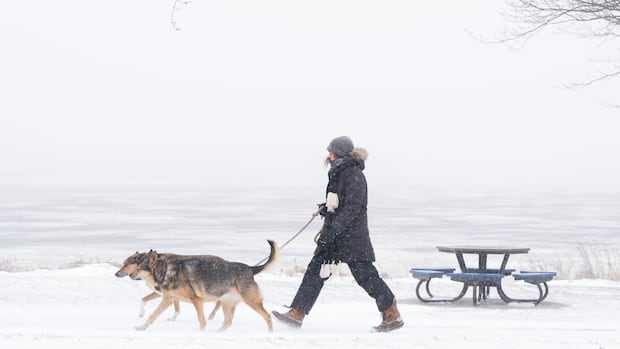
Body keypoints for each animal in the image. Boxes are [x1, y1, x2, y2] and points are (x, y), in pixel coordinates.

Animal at [136, 239, 280, 332]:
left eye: (140, 268)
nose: (131, 275)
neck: (166, 271)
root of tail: (250, 268)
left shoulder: (196, 300)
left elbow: (201, 320)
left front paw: (201, 333)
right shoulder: (168, 300)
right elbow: (152, 315)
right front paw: (141, 327)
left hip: (251, 301)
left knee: (267, 316)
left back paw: (270, 334)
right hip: (226, 302)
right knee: (227, 322)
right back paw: (217, 333)